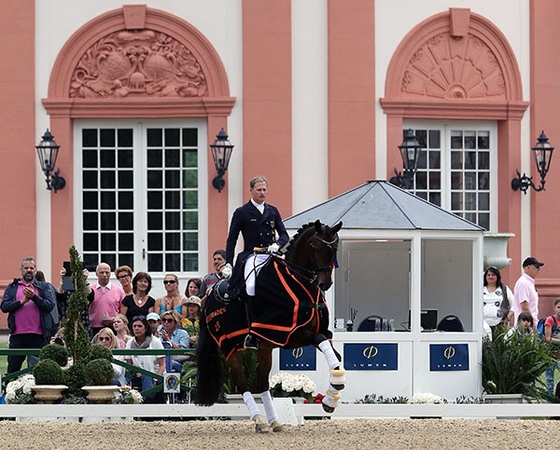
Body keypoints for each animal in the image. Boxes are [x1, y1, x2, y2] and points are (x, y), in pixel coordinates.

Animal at [197, 221, 346, 432]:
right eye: (315, 248)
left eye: (334, 249)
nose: (325, 283)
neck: (299, 283)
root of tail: (209, 294)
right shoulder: (290, 335)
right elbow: (320, 340)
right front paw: (335, 390)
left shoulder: (322, 332)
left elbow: (335, 355)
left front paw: (330, 398)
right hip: (227, 344)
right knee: (243, 383)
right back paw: (259, 419)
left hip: (264, 348)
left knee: (262, 384)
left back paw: (274, 422)